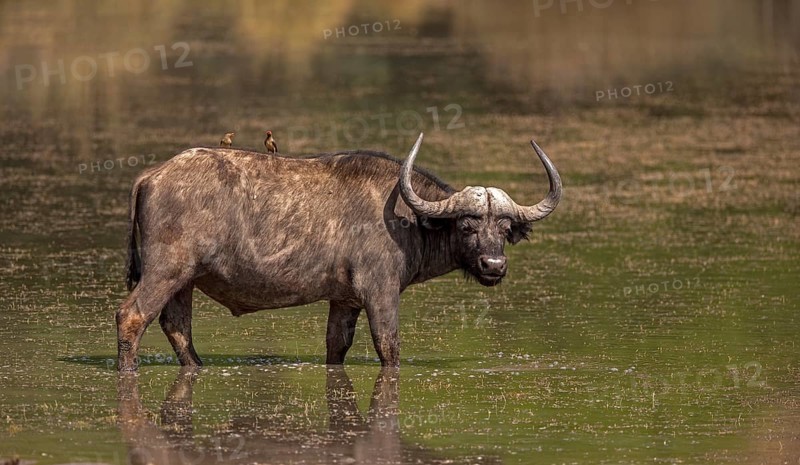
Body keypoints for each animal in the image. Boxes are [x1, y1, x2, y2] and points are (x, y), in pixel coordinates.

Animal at [116, 133, 562, 371]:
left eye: (504, 228)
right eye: (467, 226)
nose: (494, 265)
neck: (408, 220)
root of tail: (151, 176)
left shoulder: (344, 300)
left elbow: (336, 345)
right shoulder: (380, 294)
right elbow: (388, 346)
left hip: (185, 281)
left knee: (176, 326)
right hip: (166, 271)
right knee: (132, 316)